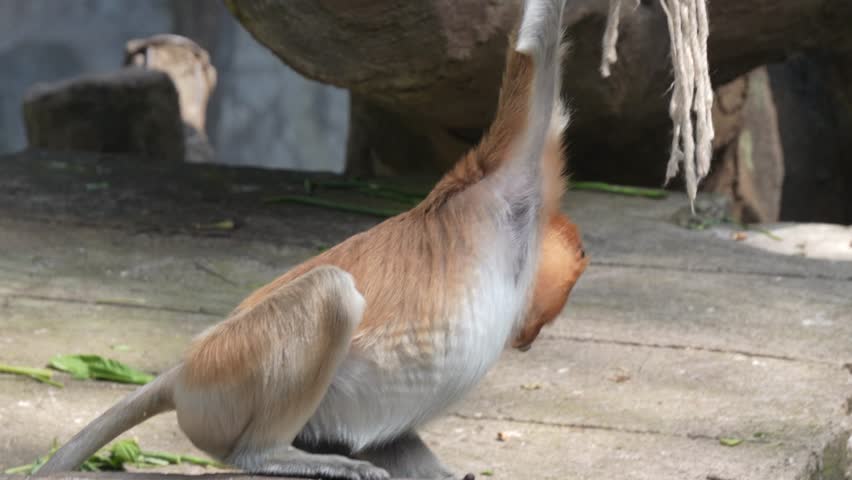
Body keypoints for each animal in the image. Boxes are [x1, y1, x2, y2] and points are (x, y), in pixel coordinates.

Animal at [38, 1, 581, 479]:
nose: (532, 336)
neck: (519, 242)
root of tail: (186, 367)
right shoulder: (508, 178)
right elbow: (534, 48)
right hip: (231, 372)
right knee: (330, 292)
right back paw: (270, 454)